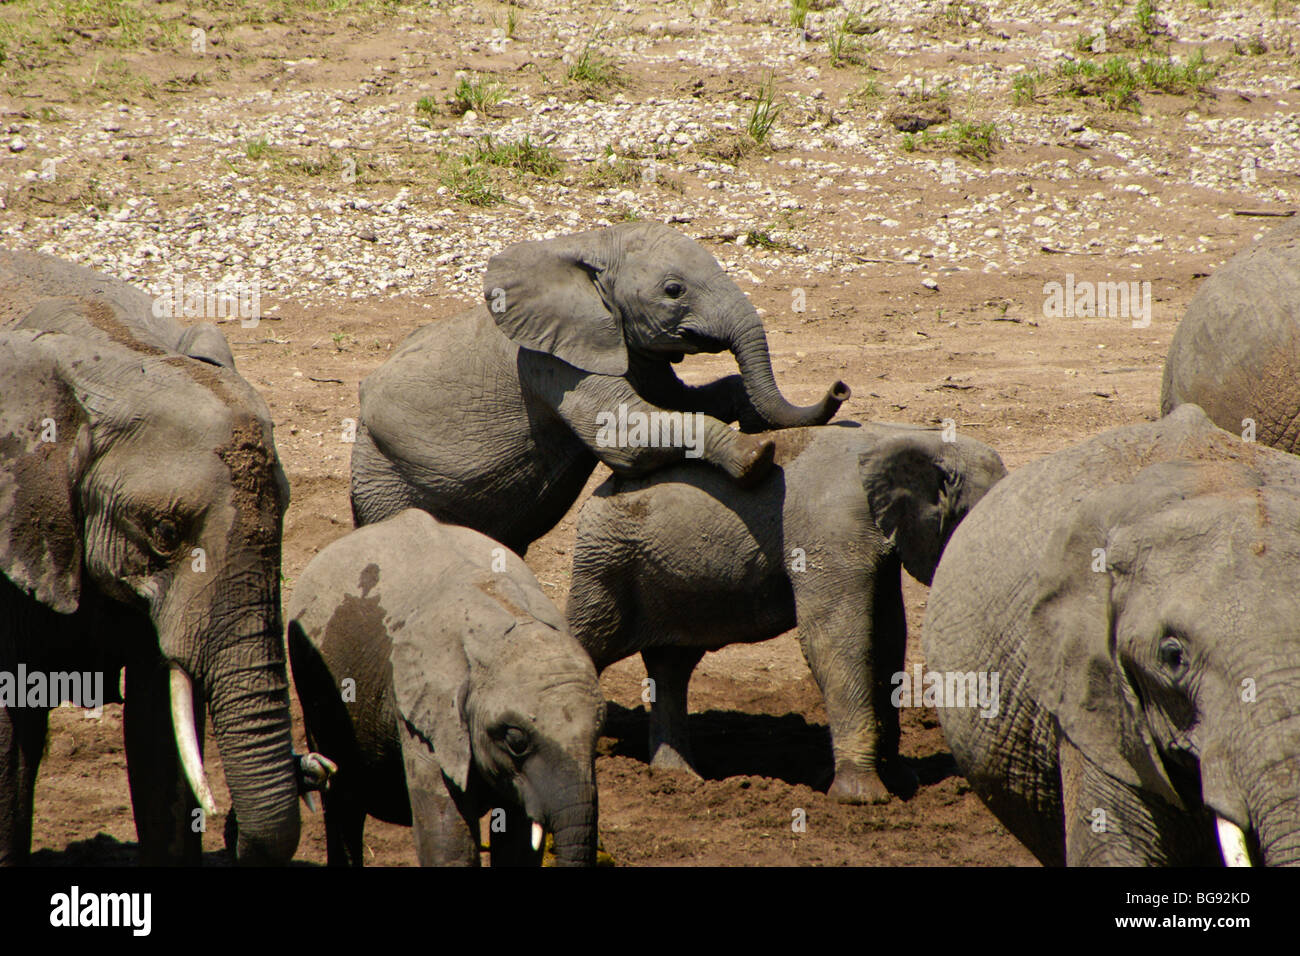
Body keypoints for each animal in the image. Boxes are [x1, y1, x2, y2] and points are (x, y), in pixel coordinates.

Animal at [287, 509, 604, 866]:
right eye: (515, 741)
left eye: (598, 732)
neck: (504, 614)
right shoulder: (421, 713)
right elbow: (448, 843)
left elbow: (518, 844)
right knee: (343, 799)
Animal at [349, 222, 850, 554]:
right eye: (673, 290)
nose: (841, 388)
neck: (585, 246)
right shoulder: (554, 363)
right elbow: (626, 437)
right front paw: (756, 456)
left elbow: (676, 399)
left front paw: (749, 410)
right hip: (382, 475)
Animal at [566, 421, 1006, 805]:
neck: (919, 437)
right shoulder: (832, 531)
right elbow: (836, 639)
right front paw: (861, 798)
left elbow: (887, 638)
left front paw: (900, 783)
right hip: (605, 566)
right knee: (590, 641)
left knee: (671, 666)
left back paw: (679, 778)